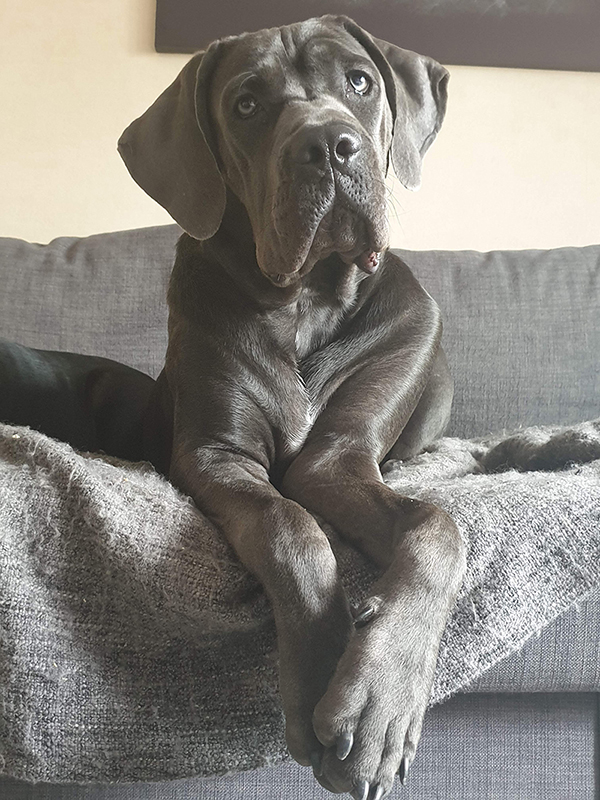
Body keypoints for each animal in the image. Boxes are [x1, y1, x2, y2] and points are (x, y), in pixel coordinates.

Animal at [0, 12, 466, 800]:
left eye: (360, 82)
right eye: (247, 105)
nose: (327, 145)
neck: (309, 297)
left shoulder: (342, 455)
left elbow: (437, 525)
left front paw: (380, 702)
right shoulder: (216, 453)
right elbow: (290, 526)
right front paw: (322, 673)